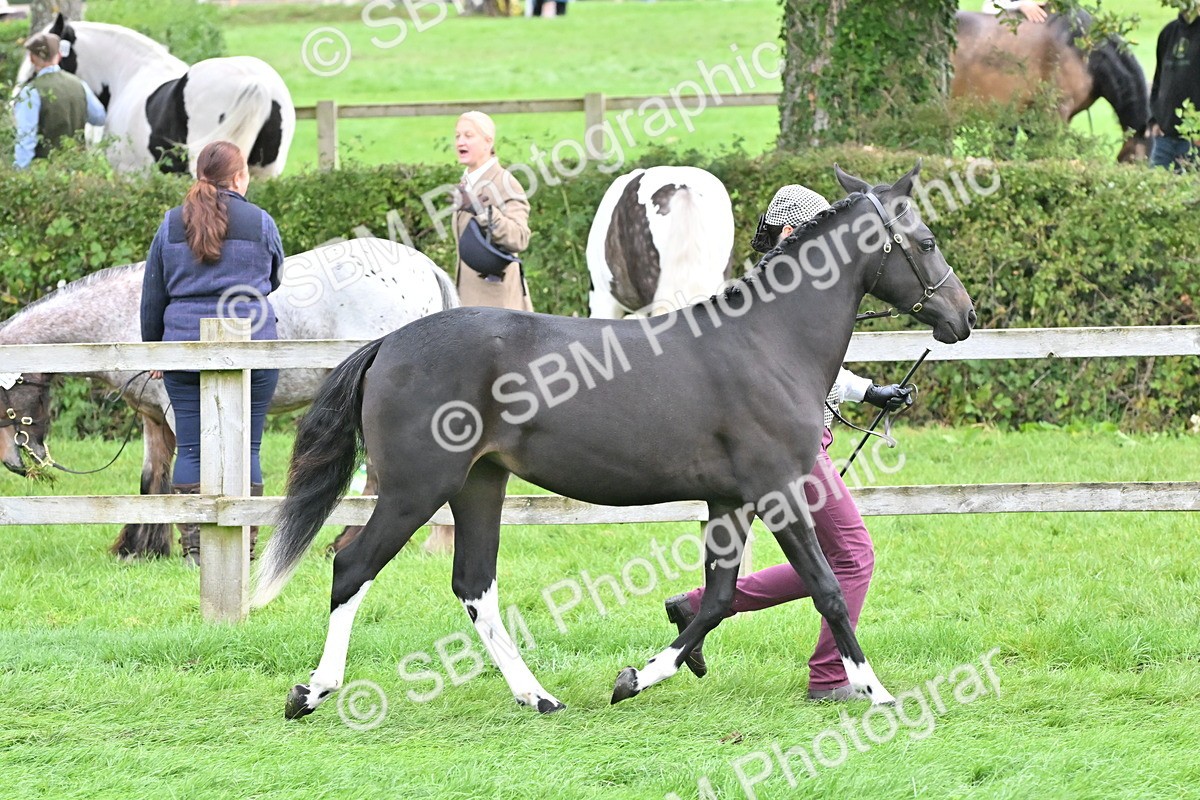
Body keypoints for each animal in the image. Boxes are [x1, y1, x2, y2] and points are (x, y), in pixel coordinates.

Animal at [0, 238, 458, 559]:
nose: (15, 463)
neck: (125, 317)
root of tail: (426, 269)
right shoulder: (153, 417)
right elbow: (152, 481)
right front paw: (138, 549)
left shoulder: (178, 415)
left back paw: (346, 543)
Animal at [16, 14, 295, 177]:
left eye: (33, 64)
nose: (17, 98)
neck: (127, 74)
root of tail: (254, 82)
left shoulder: (130, 174)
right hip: (265, 173)